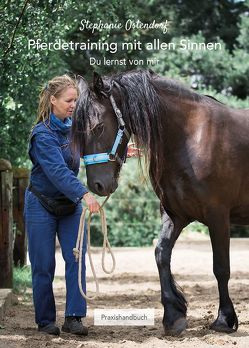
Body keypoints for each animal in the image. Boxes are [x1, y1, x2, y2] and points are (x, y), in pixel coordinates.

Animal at [71, 69, 249, 336]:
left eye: (99, 126)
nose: (97, 185)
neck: (191, 137)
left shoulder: (218, 216)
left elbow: (221, 267)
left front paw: (224, 320)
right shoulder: (175, 215)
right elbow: (161, 255)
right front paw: (174, 315)